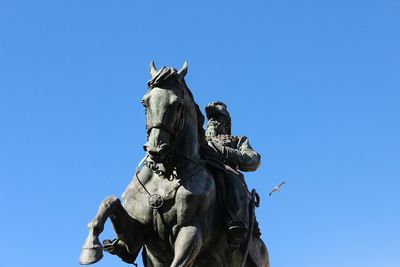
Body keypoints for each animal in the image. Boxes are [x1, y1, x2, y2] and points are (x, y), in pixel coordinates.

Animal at [79, 61, 270, 266]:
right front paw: (90, 248)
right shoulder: (139, 234)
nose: (156, 150)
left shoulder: (190, 232)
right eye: (144, 102)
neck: (165, 174)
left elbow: (251, 157)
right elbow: (109, 201)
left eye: (177, 104)